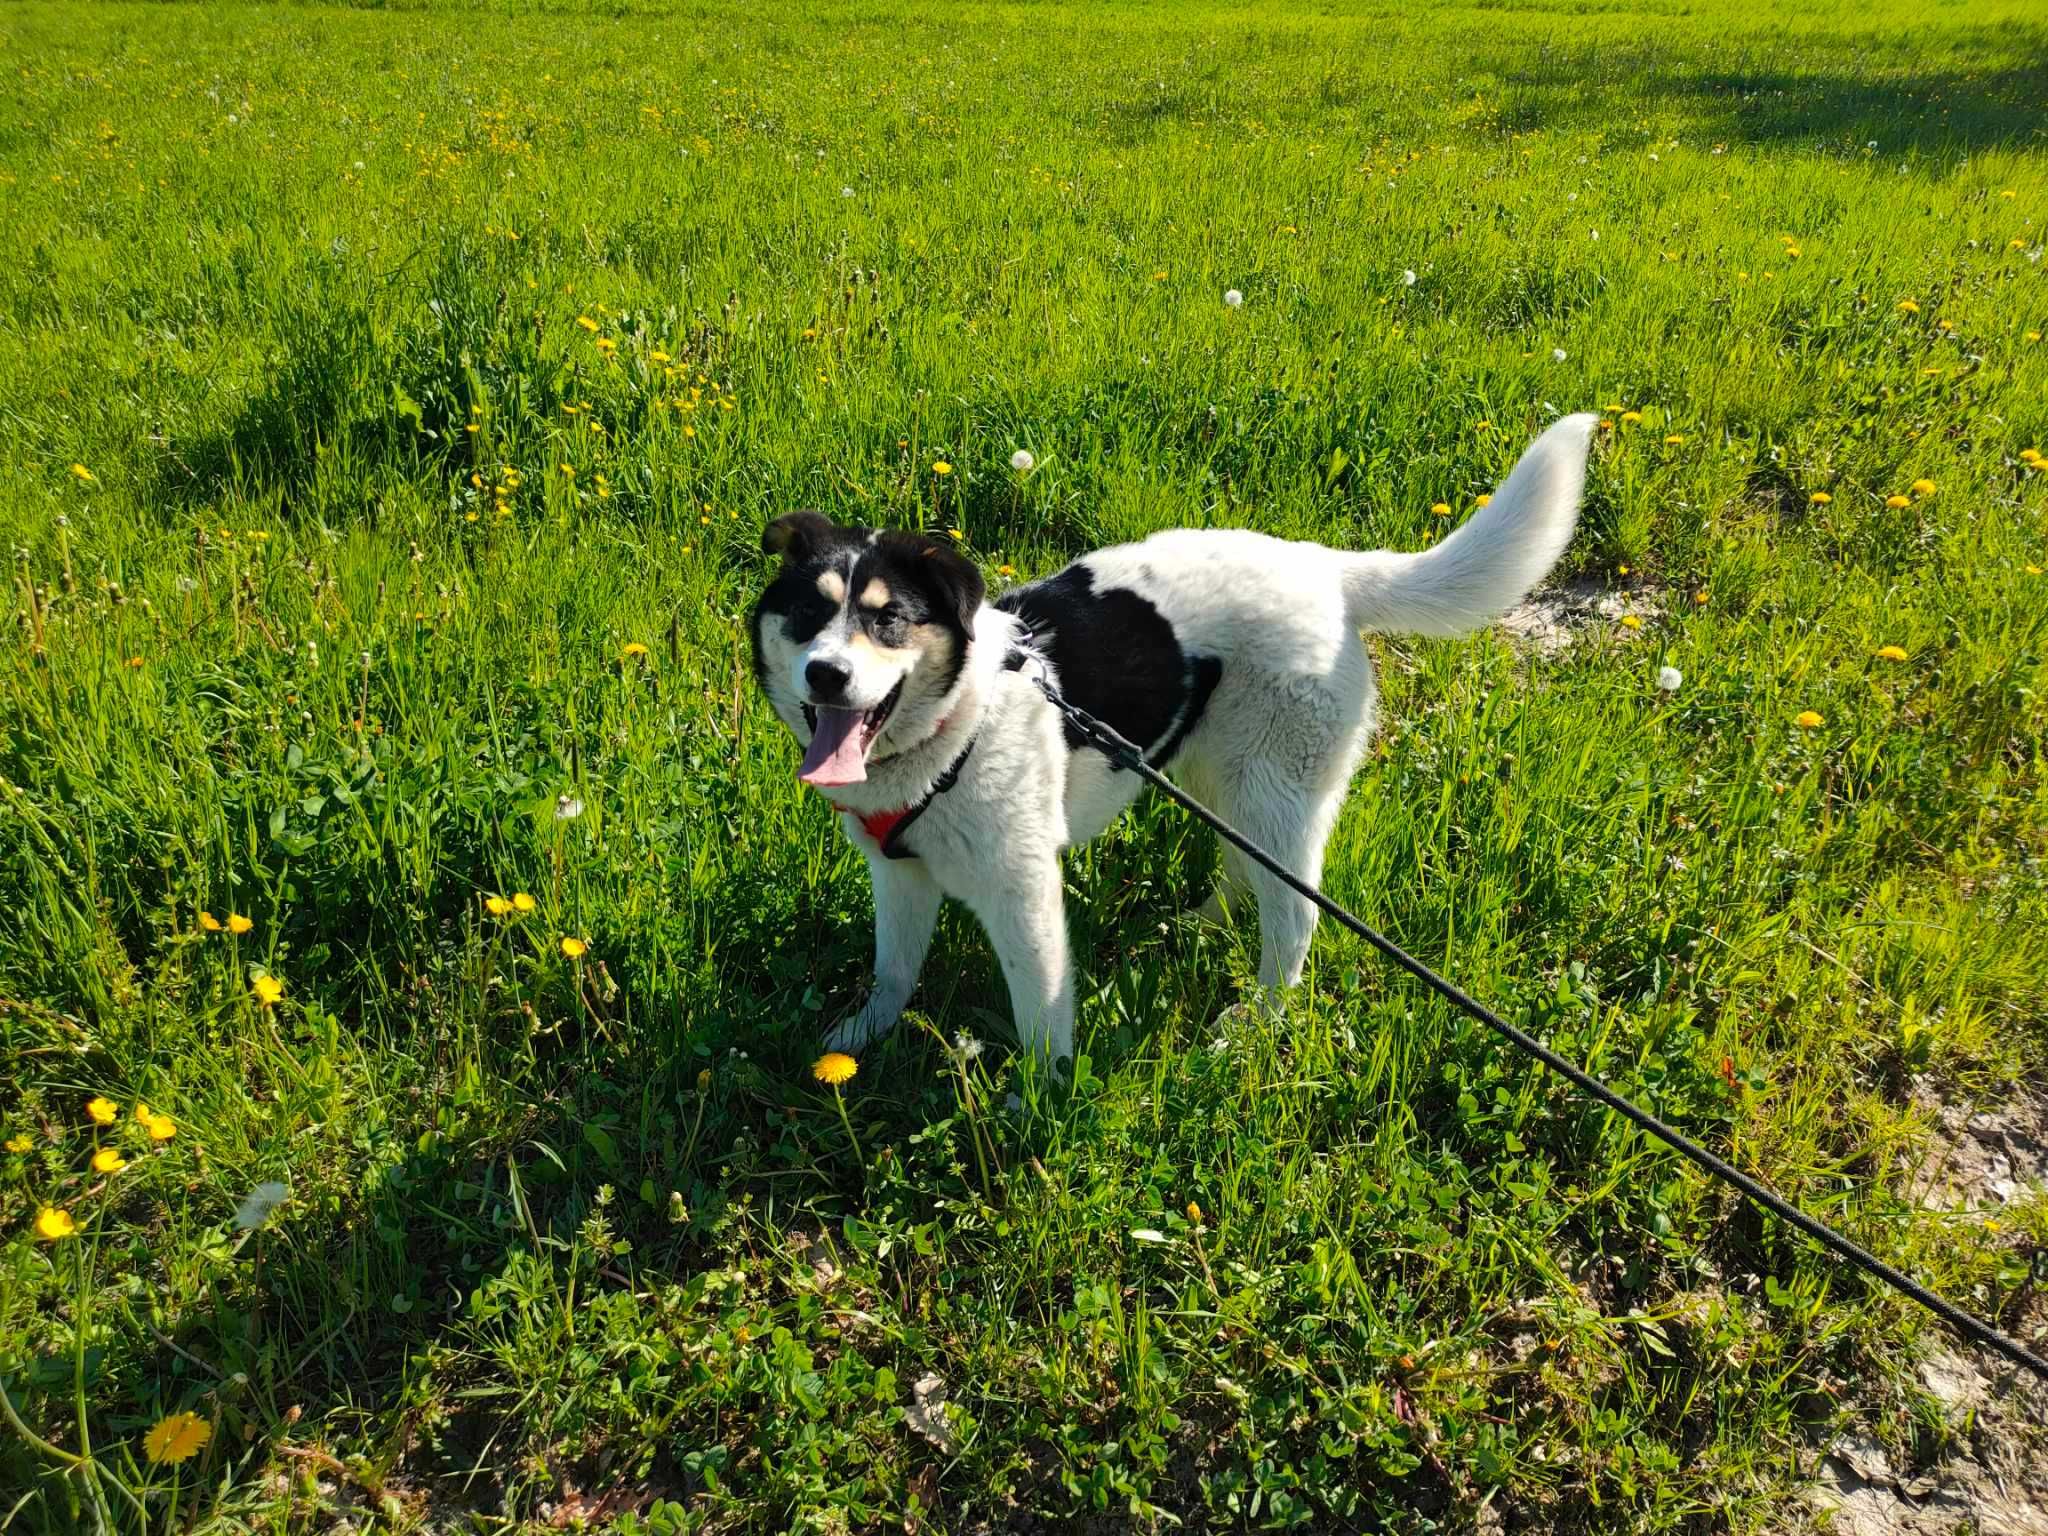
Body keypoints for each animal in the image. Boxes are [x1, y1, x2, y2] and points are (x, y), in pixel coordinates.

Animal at [753, 415, 1597, 1064]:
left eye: (887, 618)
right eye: (807, 615)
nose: (826, 674)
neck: (955, 723)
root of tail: (1327, 570)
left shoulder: (1022, 893)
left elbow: (1041, 1013)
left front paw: (1039, 1105)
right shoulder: (900, 876)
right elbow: (892, 972)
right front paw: (858, 1041)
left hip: (1277, 792)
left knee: (1294, 921)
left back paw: (1252, 1027)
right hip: (1223, 778)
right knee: (1242, 870)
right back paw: (1196, 925)